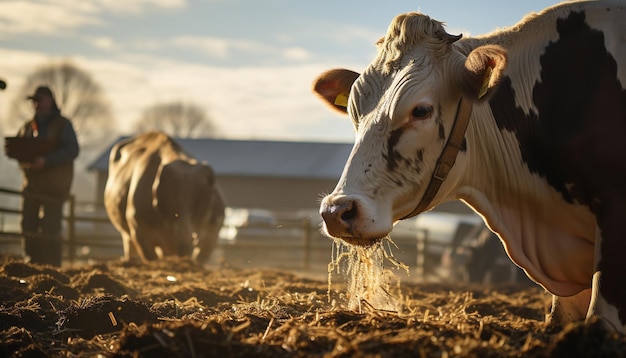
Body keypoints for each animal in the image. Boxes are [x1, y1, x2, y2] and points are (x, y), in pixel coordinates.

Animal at [104, 131, 224, 262]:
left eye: (200, 199)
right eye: (168, 197)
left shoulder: (210, 234)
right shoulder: (137, 228)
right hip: (129, 234)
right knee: (129, 244)